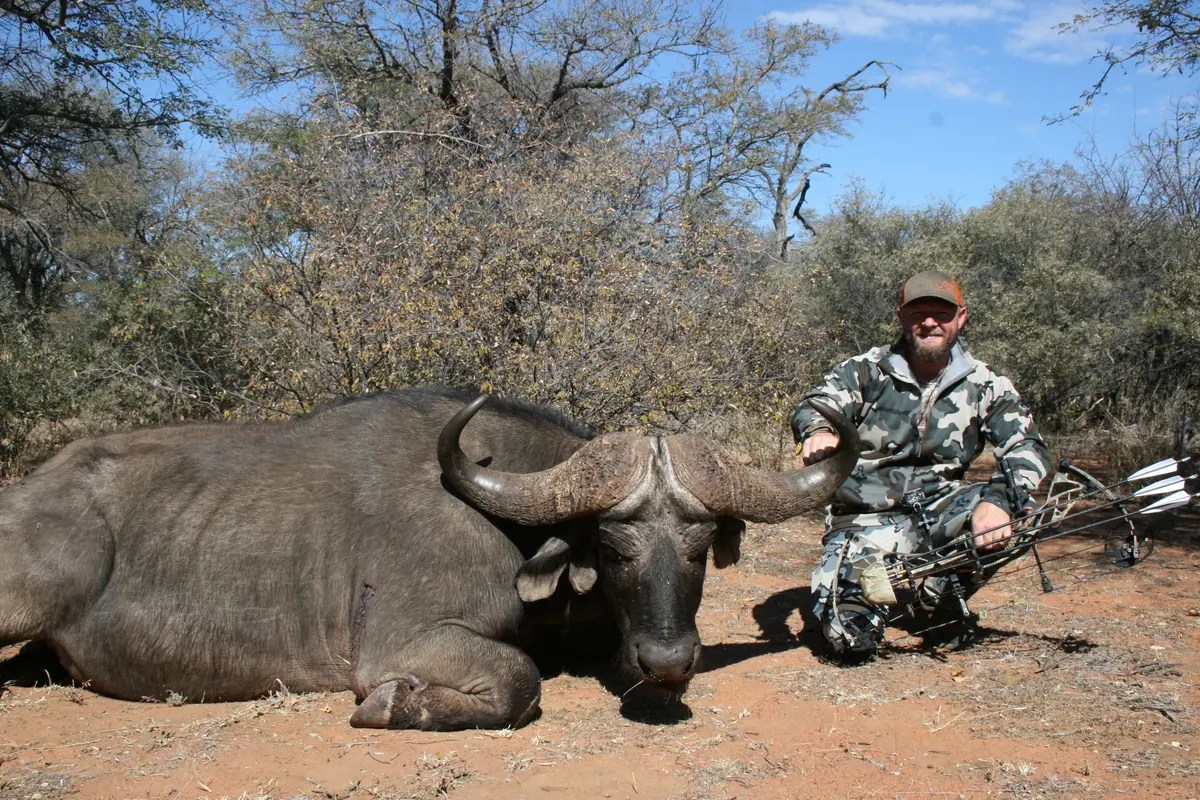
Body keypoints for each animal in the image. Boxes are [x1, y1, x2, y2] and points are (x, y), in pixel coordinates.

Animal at [0, 386, 856, 730]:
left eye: (702, 548)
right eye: (615, 548)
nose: (671, 660)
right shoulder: (401, 643)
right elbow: (518, 682)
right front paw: (395, 706)